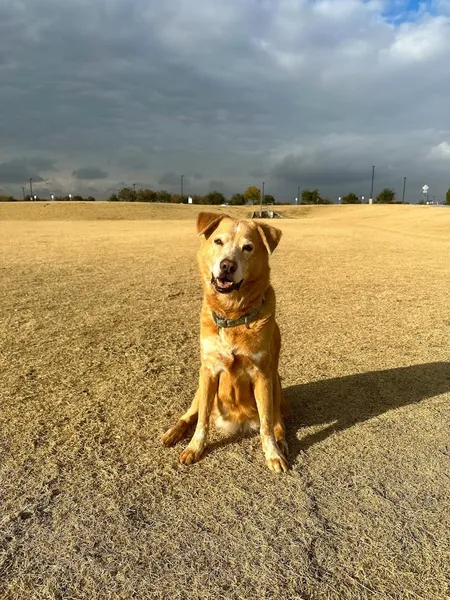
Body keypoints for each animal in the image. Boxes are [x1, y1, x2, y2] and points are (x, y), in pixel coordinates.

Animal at [163, 212, 288, 474]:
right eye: (218, 241)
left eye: (248, 247)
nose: (227, 266)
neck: (233, 317)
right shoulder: (209, 371)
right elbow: (201, 421)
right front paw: (194, 447)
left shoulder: (263, 374)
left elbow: (267, 424)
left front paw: (273, 453)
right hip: (200, 388)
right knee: (191, 414)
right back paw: (173, 432)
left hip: (277, 383)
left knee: (276, 419)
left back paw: (281, 440)